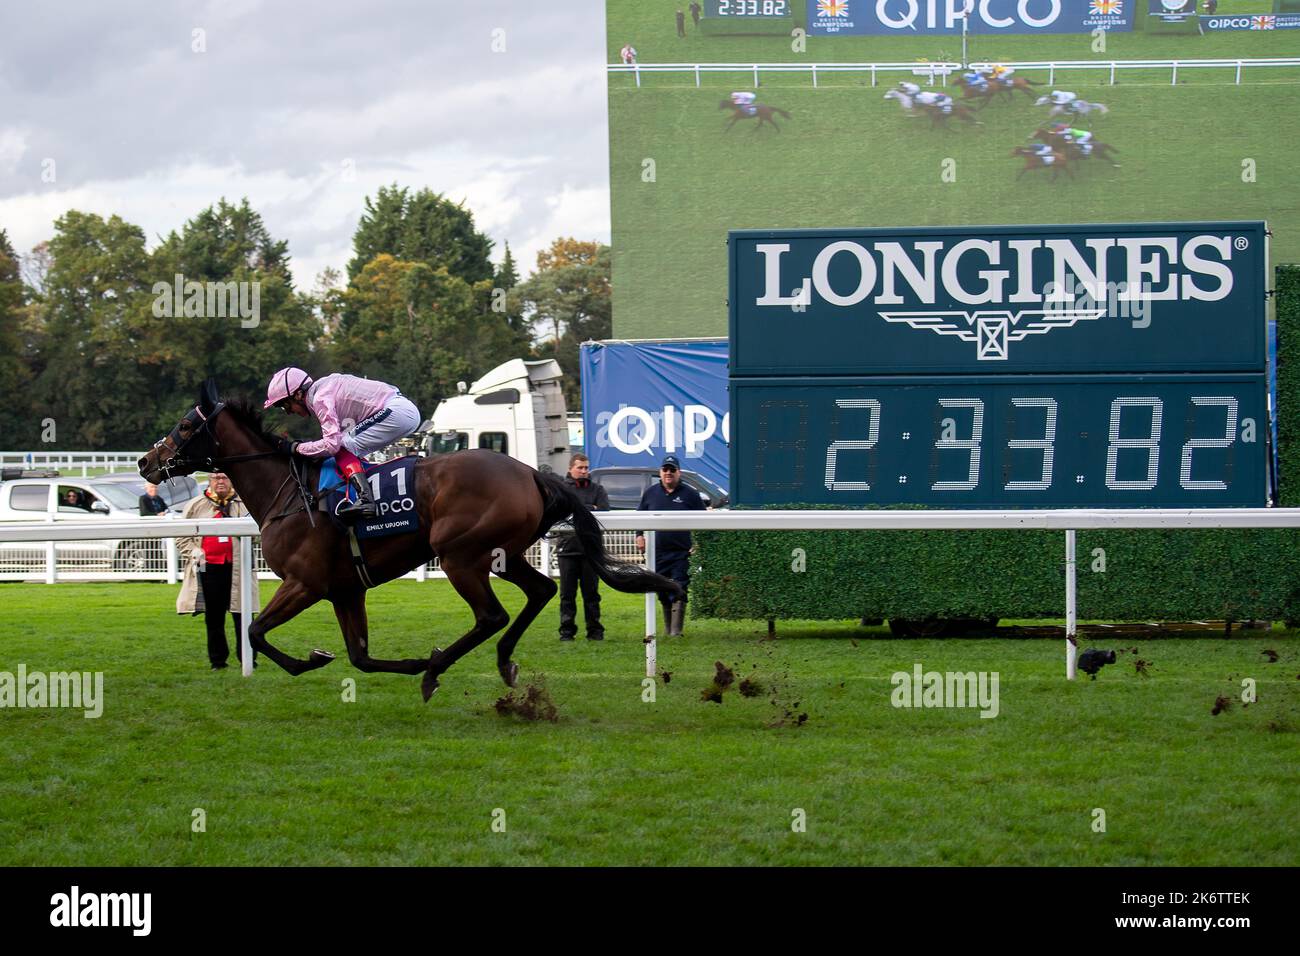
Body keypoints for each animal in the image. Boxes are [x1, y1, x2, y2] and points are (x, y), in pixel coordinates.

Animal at [141, 382, 686, 702]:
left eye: (186, 425)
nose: (147, 462)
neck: (287, 491)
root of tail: (533, 473)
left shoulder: (305, 582)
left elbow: (256, 632)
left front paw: (312, 660)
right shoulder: (345, 589)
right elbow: (359, 655)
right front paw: (377, 661)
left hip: (461, 554)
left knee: (492, 615)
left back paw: (438, 668)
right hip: (503, 554)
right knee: (542, 591)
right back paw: (500, 662)